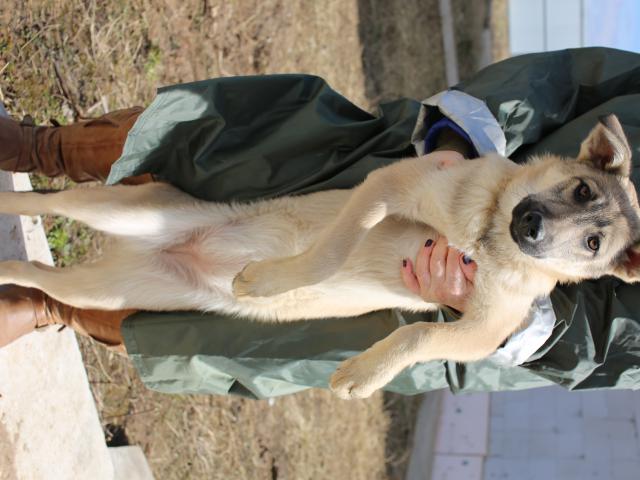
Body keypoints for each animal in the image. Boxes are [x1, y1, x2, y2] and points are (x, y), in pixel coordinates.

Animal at [0, 115, 636, 398]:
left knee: (35, 274)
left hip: (105, 290)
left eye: (593, 245)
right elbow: (332, 252)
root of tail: (164, 247)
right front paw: (266, 282)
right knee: (46, 202)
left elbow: (418, 335)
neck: (482, 237)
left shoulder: (482, 331)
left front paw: (362, 373)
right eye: (583, 190)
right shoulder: (389, 188)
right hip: (113, 210)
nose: (530, 226)